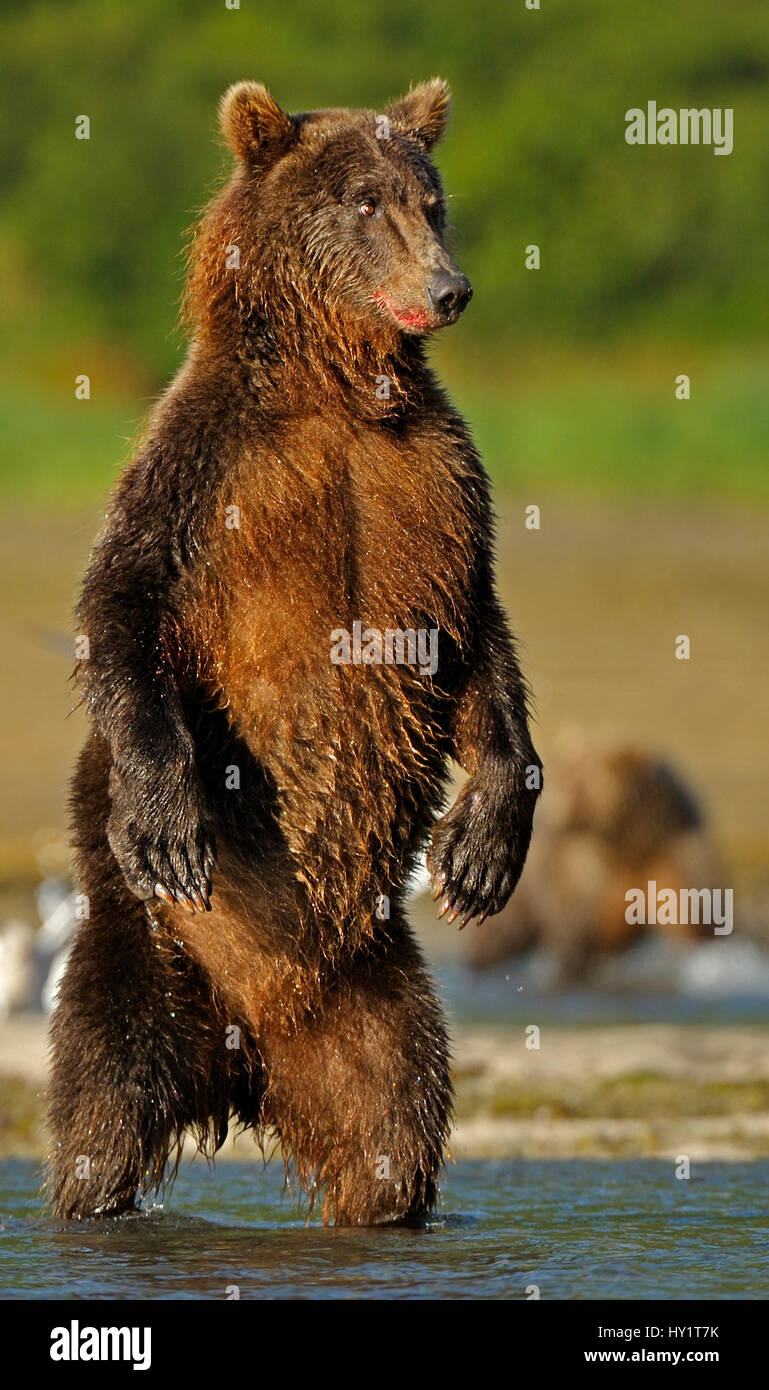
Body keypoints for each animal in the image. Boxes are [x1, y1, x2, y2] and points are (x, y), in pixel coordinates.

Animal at [47, 78, 539, 1228]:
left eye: (430, 200)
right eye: (364, 202)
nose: (448, 288)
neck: (339, 390)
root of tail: (239, 1054)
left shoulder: (439, 490)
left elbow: (479, 644)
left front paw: (480, 849)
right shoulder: (205, 470)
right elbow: (121, 605)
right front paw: (170, 818)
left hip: (372, 993)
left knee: (390, 1124)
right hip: (138, 949)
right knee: (100, 1109)